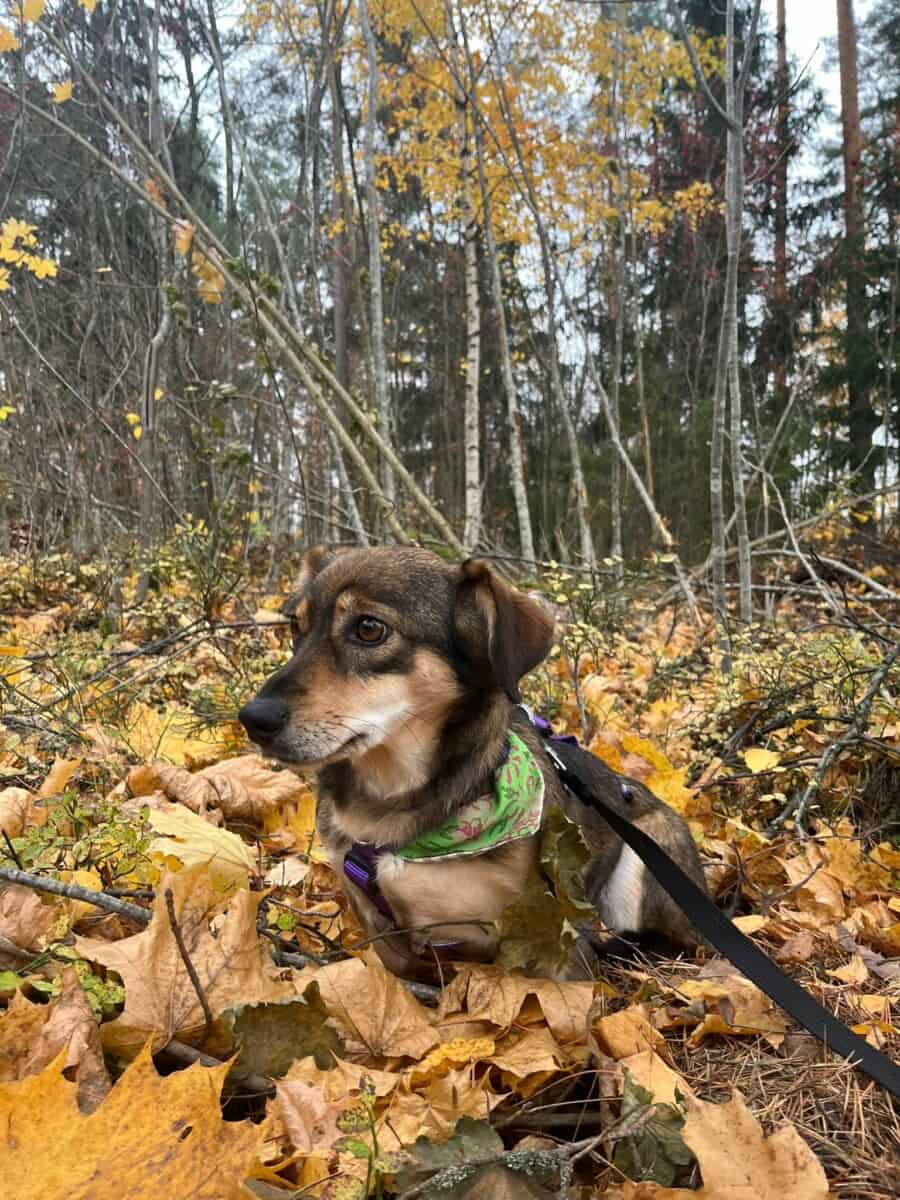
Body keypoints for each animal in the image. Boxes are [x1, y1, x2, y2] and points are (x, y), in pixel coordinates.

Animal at [239, 546, 708, 980]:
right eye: (295, 627)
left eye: (369, 628)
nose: (253, 719)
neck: (392, 803)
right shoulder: (384, 934)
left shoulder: (555, 941)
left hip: (647, 857)